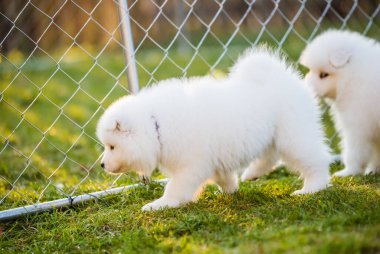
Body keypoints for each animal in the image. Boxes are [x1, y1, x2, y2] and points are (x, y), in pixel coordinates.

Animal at [96, 47, 332, 210]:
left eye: (112, 146)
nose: (102, 165)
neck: (156, 126)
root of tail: (283, 77)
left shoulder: (190, 165)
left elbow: (176, 187)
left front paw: (160, 204)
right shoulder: (211, 159)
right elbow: (222, 175)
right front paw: (231, 189)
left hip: (293, 135)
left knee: (314, 160)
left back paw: (312, 188)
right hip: (272, 134)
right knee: (270, 156)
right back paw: (252, 174)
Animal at [300, 29, 380, 177]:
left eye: (324, 74)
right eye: (310, 70)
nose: (305, 89)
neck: (351, 76)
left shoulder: (357, 124)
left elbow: (354, 151)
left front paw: (348, 172)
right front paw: (373, 169)